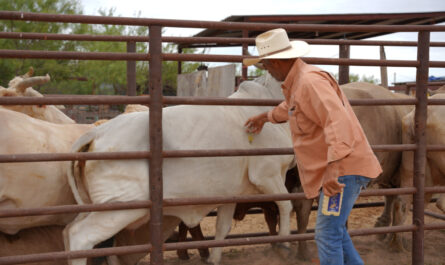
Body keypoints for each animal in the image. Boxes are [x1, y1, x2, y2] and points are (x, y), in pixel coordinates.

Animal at [63, 74, 294, 264]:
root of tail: (97, 132)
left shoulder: (231, 193)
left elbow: (222, 227)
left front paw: (213, 259)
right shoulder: (267, 174)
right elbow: (285, 205)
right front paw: (284, 245)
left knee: (68, 232)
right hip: (121, 206)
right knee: (79, 236)